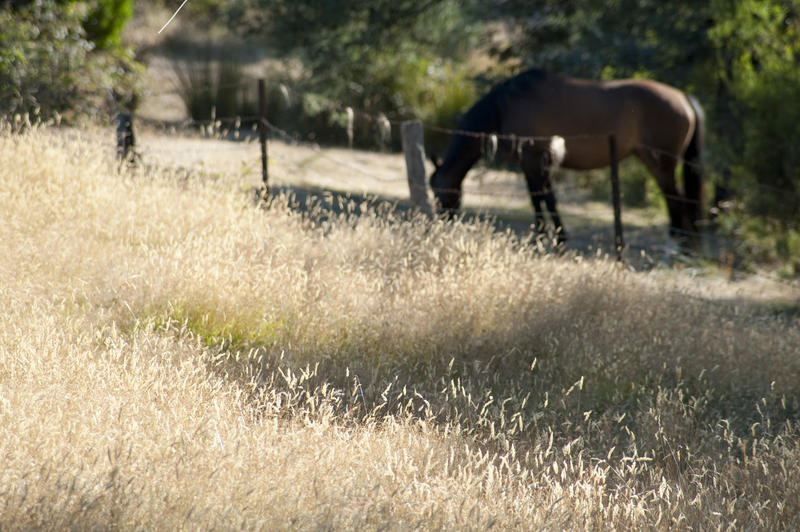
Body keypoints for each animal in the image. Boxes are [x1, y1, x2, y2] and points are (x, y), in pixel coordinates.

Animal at [428, 69, 704, 243]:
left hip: (661, 164)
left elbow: (541, 199)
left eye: (439, 192)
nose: (443, 222)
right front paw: (554, 238)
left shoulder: (532, 159)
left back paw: (674, 251)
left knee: (676, 203)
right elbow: (545, 198)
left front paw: (546, 239)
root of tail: (683, 97)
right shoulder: (536, 163)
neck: (503, 107)